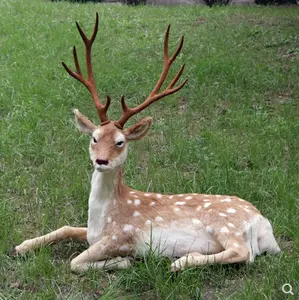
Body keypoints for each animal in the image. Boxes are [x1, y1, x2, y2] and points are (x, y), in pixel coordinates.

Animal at [14, 13, 282, 272]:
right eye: (94, 138)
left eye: (120, 142)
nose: (101, 160)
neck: (103, 218)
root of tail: (263, 223)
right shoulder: (91, 233)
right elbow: (66, 228)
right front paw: (21, 246)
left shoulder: (123, 236)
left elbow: (75, 263)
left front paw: (123, 262)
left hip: (227, 225)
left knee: (243, 253)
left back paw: (180, 262)